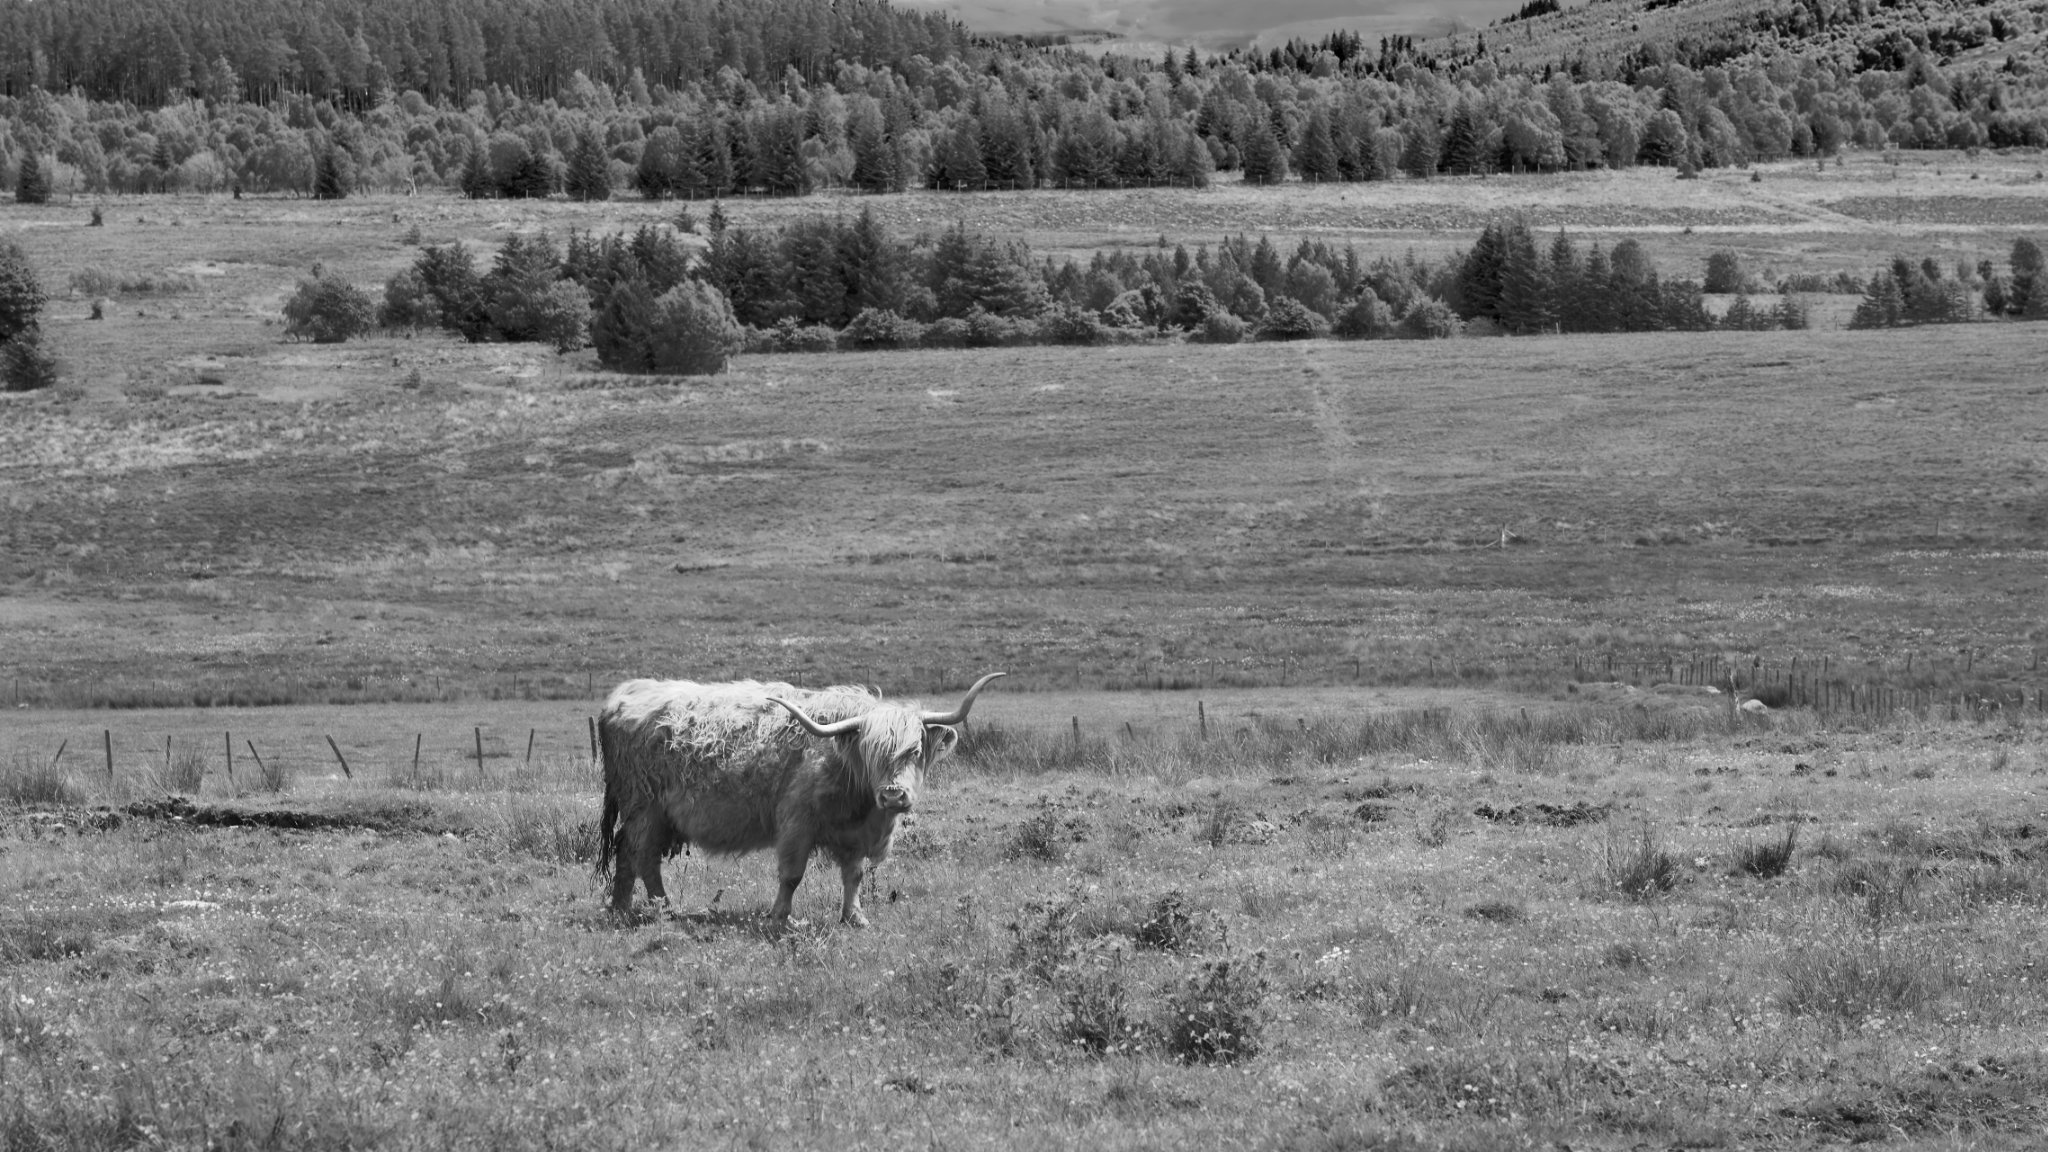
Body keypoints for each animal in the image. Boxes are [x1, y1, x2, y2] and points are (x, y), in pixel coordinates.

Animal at [596, 672, 1004, 926]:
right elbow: (792, 875)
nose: (892, 795)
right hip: (644, 807)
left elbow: (854, 875)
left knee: (628, 853)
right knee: (642, 854)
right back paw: (663, 909)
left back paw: (621, 908)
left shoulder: (855, 835)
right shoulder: (797, 823)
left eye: (915, 750)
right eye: (870, 753)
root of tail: (622, 695)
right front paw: (781, 917)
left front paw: (854, 917)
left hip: (650, 813)